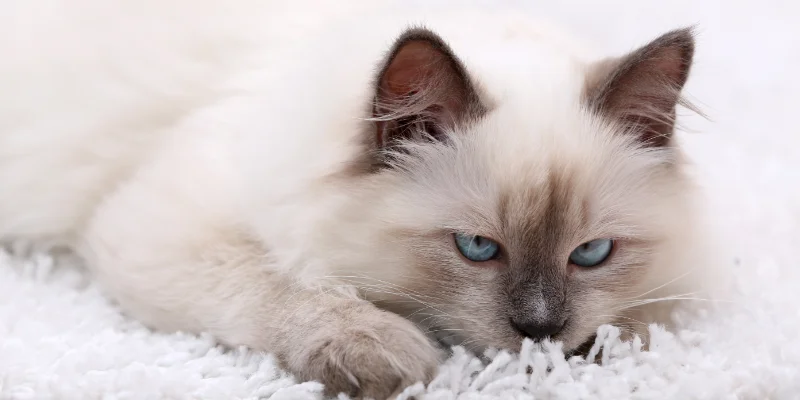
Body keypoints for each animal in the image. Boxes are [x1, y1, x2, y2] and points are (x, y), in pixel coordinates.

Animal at [0, 1, 720, 398]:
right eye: (477, 248)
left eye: (591, 254)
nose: (540, 329)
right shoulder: (154, 227)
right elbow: (286, 283)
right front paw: (382, 352)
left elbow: (646, 320)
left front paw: (606, 345)